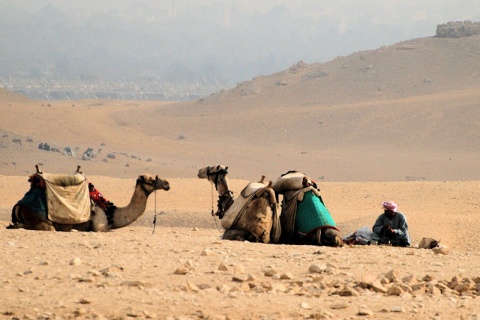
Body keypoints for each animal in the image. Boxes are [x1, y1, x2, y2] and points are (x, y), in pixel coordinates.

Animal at [7, 166, 170, 231]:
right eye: (151, 179)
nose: (167, 184)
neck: (111, 212)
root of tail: (19, 205)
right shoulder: (99, 228)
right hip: (42, 221)